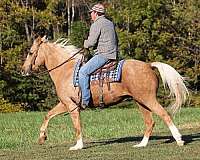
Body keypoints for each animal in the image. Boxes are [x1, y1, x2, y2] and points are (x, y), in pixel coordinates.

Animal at [22, 36, 189, 150]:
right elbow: (48, 115)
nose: (23, 70)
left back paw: (179, 140)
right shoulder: (64, 103)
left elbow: (76, 125)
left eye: (30, 52)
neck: (65, 71)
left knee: (165, 115)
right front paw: (42, 137)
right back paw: (141, 144)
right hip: (140, 102)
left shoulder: (71, 106)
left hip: (148, 100)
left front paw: (78, 146)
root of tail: (148, 65)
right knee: (150, 122)